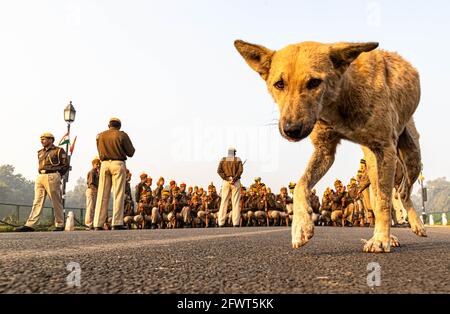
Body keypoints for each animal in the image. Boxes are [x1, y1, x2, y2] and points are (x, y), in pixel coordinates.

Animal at [234, 39, 428, 253]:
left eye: (314, 83)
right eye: (279, 84)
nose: (291, 130)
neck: (338, 101)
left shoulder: (386, 148)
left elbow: (385, 203)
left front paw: (380, 239)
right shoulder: (325, 151)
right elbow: (301, 185)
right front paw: (301, 227)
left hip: (412, 158)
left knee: (402, 192)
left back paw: (416, 225)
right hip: (373, 164)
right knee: (381, 193)